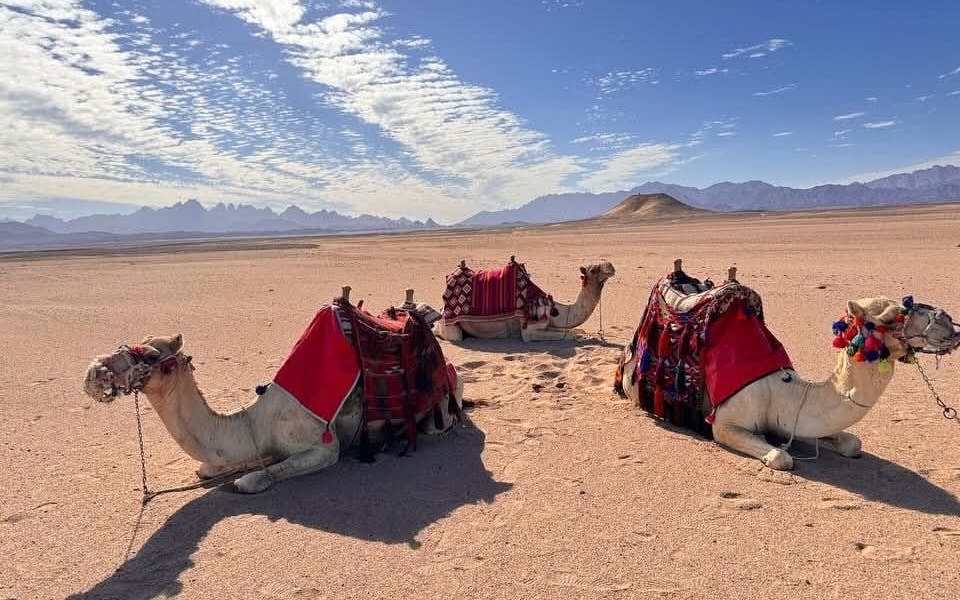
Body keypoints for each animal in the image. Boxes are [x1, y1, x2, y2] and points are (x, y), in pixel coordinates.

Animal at [82, 289, 464, 494]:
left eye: (150, 355)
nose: (94, 374)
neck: (257, 422)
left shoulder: (323, 447)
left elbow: (255, 479)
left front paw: (248, 478)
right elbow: (209, 468)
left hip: (443, 405)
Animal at [436, 258, 616, 342]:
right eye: (593, 270)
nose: (611, 266)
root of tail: (442, 310)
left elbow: (577, 330)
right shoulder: (529, 330)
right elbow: (569, 334)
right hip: (451, 327)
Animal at [617, 263, 960, 470]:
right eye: (889, 318)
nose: (947, 322)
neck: (783, 390)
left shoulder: (789, 422)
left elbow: (852, 443)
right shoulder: (725, 423)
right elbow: (781, 457)